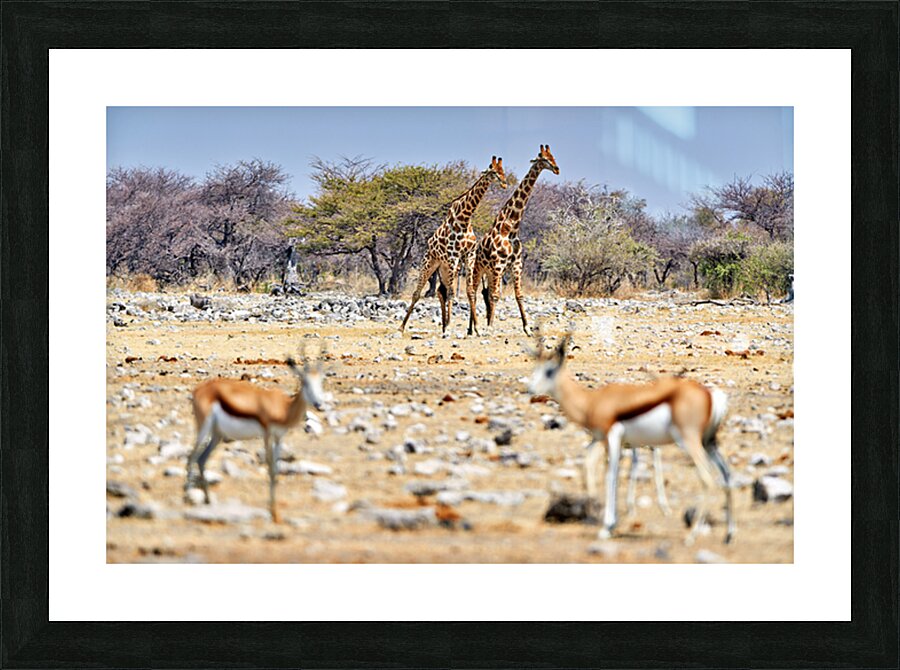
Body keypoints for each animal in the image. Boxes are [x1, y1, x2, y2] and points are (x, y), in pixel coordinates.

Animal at [400, 156, 508, 333]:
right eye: (493, 171)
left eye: (503, 170)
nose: (505, 183)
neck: (464, 218)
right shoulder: (453, 256)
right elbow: (452, 292)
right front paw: (451, 326)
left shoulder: (468, 256)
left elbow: (470, 292)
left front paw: (476, 328)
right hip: (430, 262)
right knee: (418, 292)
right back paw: (402, 327)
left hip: (444, 267)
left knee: (440, 290)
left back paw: (444, 326)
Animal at [467, 144, 559, 336]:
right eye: (543, 158)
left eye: (553, 156)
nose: (557, 169)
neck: (510, 228)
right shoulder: (499, 264)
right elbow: (496, 295)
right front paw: (490, 327)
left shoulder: (516, 264)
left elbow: (518, 295)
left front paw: (527, 328)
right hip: (479, 269)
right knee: (474, 291)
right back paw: (473, 328)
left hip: (491, 272)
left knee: (485, 293)